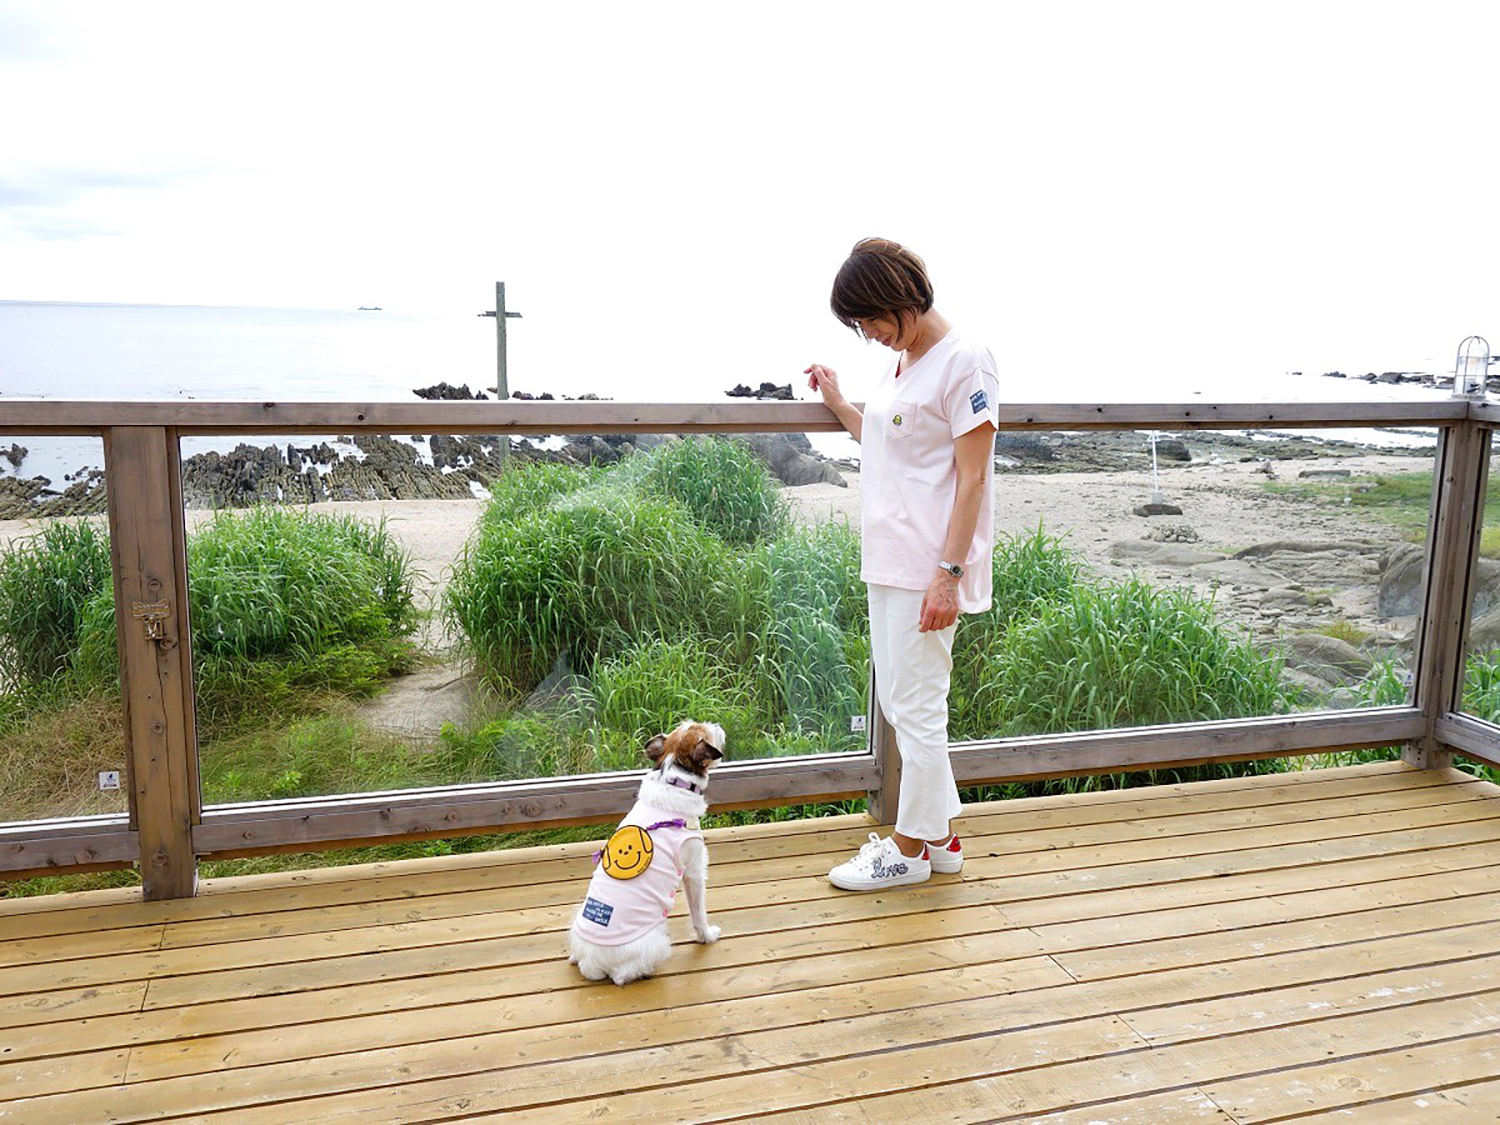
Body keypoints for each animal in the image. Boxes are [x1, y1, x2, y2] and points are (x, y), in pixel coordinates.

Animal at [567, 723, 726, 984]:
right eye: (706, 731)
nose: (718, 725)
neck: (674, 781)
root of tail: (590, 962)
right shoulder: (694, 870)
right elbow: (698, 912)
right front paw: (707, 935)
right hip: (657, 943)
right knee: (621, 976)